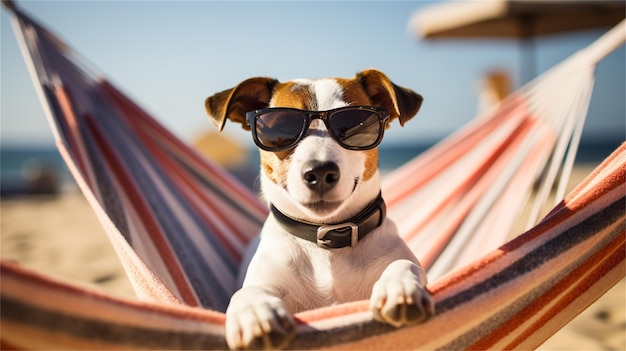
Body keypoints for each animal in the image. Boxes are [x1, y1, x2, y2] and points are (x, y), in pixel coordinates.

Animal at [205, 69, 434, 351]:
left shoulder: (395, 255)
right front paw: (256, 313)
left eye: (357, 124)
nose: (321, 172)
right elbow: (247, 291)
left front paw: (400, 287)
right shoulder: (266, 277)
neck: (325, 242)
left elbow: (404, 264)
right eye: (281, 127)